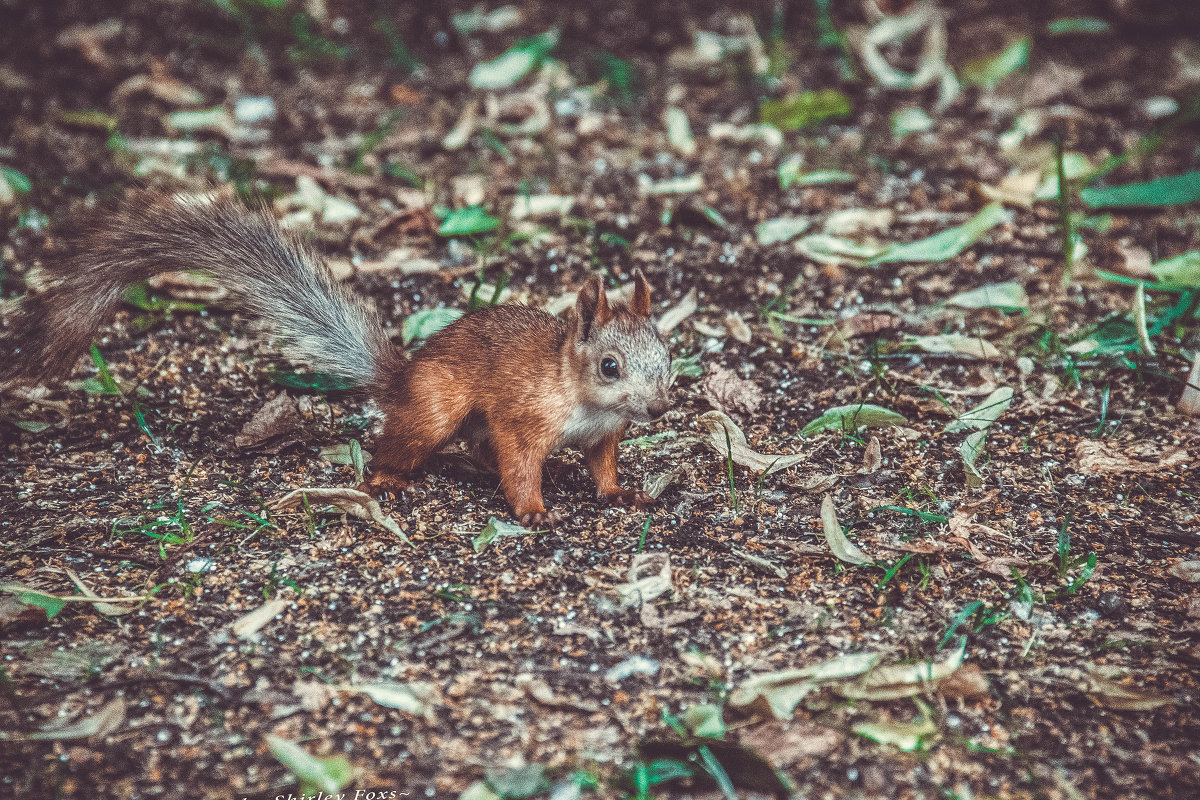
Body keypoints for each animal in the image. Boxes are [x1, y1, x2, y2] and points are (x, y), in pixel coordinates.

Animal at [0, 190, 672, 527]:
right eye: (610, 366)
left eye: (668, 355)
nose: (661, 409)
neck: (577, 391)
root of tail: (400, 378)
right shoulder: (525, 418)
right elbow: (521, 462)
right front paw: (532, 511)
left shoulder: (604, 434)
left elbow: (603, 467)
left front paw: (621, 496)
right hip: (437, 407)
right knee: (403, 445)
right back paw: (389, 478)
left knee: (476, 450)